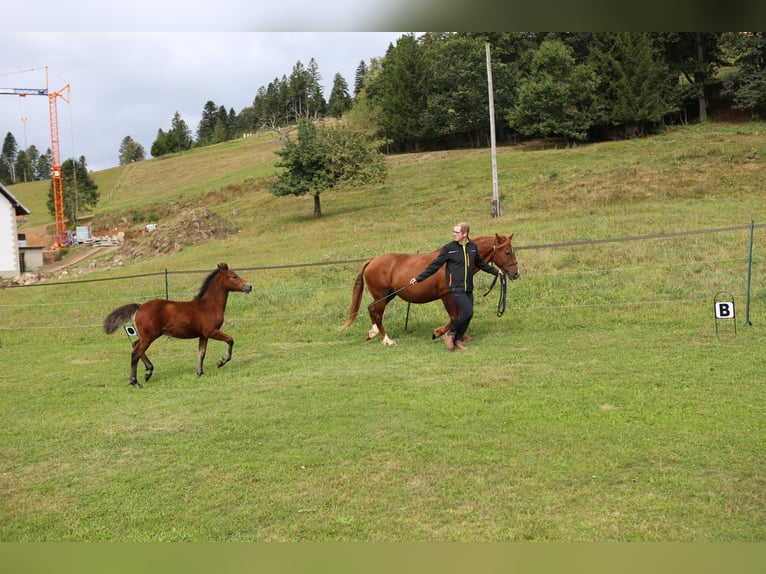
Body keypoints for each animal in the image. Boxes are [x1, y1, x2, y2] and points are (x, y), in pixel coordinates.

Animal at [103, 264, 254, 390]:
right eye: (234, 276)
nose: (249, 286)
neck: (209, 305)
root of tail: (140, 306)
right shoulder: (211, 331)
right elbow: (230, 340)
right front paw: (221, 361)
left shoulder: (203, 335)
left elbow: (201, 353)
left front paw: (200, 372)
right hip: (149, 336)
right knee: (136, 353)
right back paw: (136, 382)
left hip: (147, 335)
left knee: (135, 345)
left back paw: (148, 371)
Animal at [342, 234, 520, 346]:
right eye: (507, 252)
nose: (516, 273)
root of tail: (372, 261)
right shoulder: (446, 296)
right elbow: (455, 316)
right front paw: (438, 333)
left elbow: (462, 314)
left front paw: (461, 336)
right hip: (382, 294)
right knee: (378, 314)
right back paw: (387, 340)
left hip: (388, 295)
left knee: (372, 309)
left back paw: (372, 333)